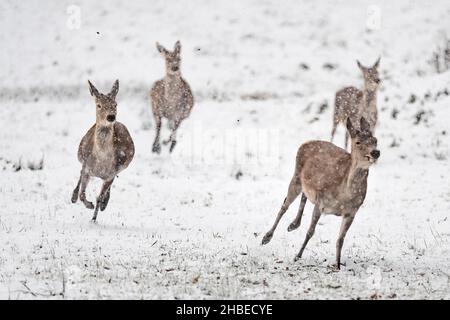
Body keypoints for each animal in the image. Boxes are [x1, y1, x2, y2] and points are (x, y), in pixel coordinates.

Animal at [71, 79, 134, 222]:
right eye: (99, 105)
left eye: (115, 104)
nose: (111, 117)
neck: (101, 161)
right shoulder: (87, 167)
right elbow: (82, 194)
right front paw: (89, 205)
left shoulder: (111, 173)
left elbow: (99, 197)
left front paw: (94, 219)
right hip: (80, 157)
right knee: (80, 175)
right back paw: (73, 197)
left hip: (121, 167)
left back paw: (104, 204)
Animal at [260, 117, 380, 270]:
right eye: (358, 142)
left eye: (375, 140)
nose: (375, 152)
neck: (344, 194)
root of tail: (306, 142)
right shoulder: (321, 202)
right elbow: (310, 232)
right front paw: (297, 256)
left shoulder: (352, 212)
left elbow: (340, 239)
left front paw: (338, 266)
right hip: (296, 176)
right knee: (284, 205)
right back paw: (266, 237)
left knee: (303, 196)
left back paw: (293, 224)